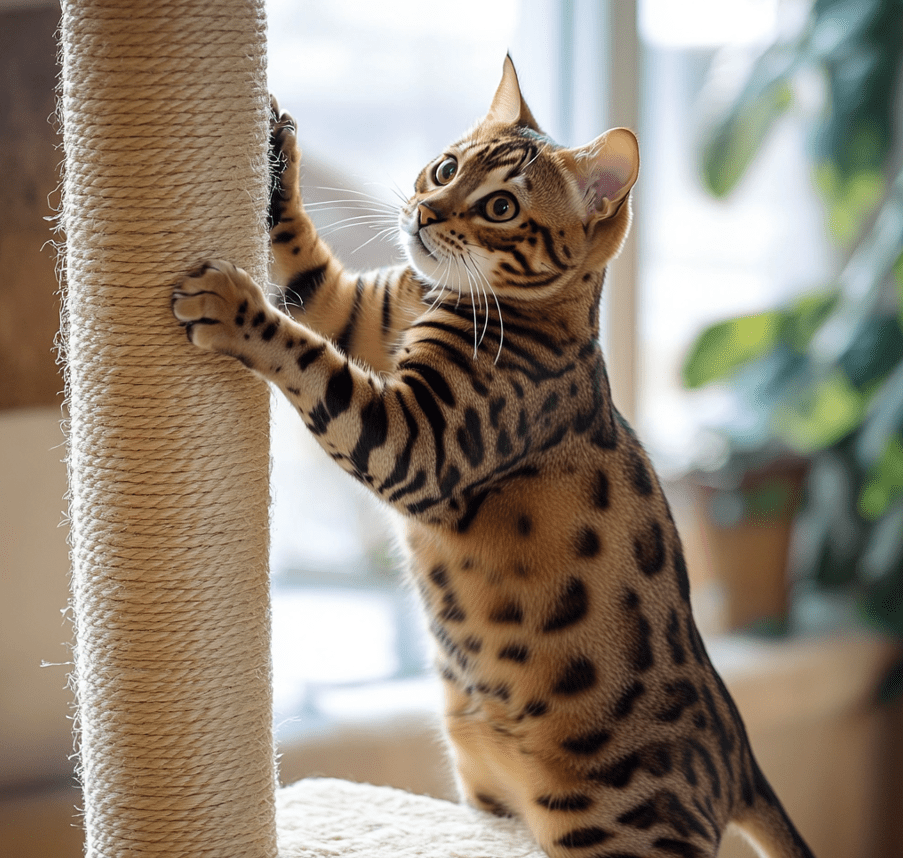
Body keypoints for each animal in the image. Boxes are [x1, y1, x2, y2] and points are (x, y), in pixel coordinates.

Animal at [173, 56, 816, 856]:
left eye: (502, 207)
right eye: (447, 167)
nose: (425, 213)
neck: (436, 298)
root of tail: (739, 753)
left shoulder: (420, 440)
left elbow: (310, 360)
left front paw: (232, 307)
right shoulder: (361, 315)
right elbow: (305, 270)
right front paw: (275, 155)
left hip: (618, 833)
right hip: (484, 794)